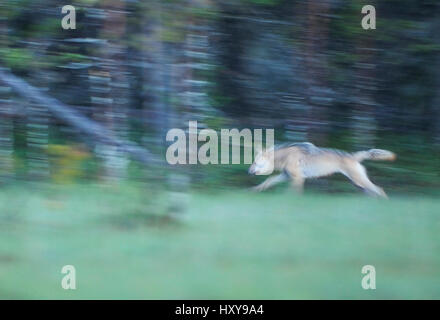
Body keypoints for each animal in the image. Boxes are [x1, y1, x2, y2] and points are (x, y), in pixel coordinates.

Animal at [249, 142, 398, 198]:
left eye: (255, 162)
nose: (248, 172)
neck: (285, 157)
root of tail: (353, 155)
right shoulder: (286, 176)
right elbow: (268, 181)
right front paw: (254, 190)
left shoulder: (298, 178)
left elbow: (294, 192)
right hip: (358, 184)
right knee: (374, 192)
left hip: (359, 181)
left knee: (380, 190)